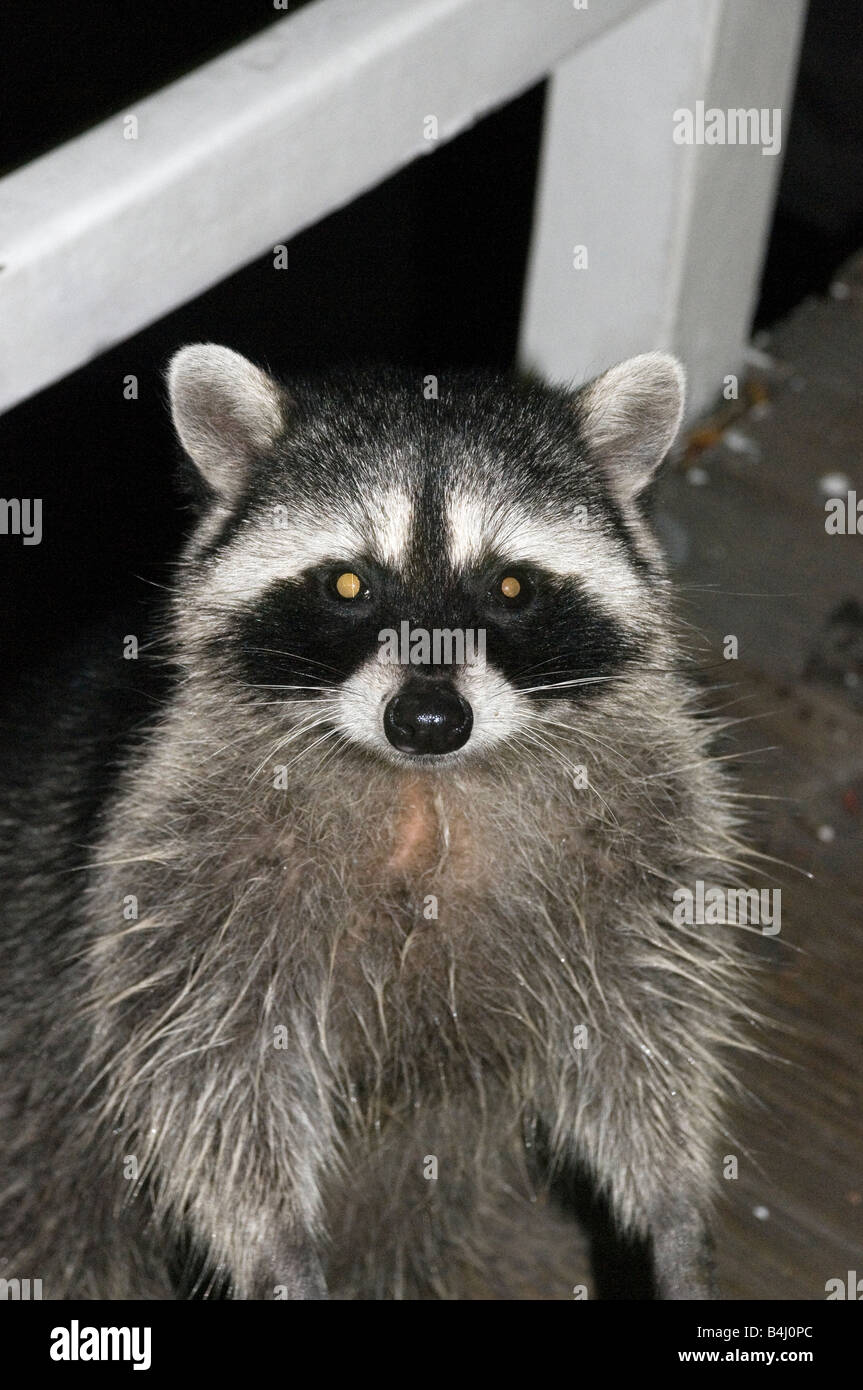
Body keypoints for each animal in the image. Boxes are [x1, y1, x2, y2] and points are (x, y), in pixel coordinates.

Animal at [0, 341, 755, 1295]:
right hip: (38, 1094)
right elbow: (213, 1061)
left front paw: (673, 1198)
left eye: (511, 587)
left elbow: (646, 1013)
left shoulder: (642, 818)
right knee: (59, 1231)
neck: (421, 791)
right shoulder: (181, 848)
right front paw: (275, 1245)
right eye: (349, 584)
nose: (428, 720)